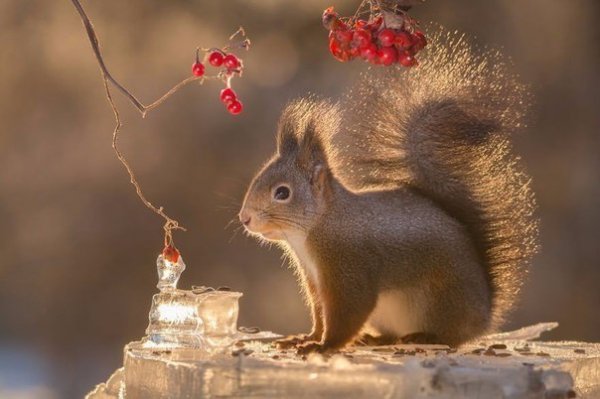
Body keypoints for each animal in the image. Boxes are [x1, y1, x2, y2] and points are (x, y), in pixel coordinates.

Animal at [238, 33, 540, 354]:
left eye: (282, 193)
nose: (245, 218)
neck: (318, 226)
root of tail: (484, 315)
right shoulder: (315, 282)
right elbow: (320, 315)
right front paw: (306, 337)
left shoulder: (349, 267)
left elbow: (348, 313)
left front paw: (323, 346)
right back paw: (378, 338)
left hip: (442, 301)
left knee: (452, 336)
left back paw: (426, 336)